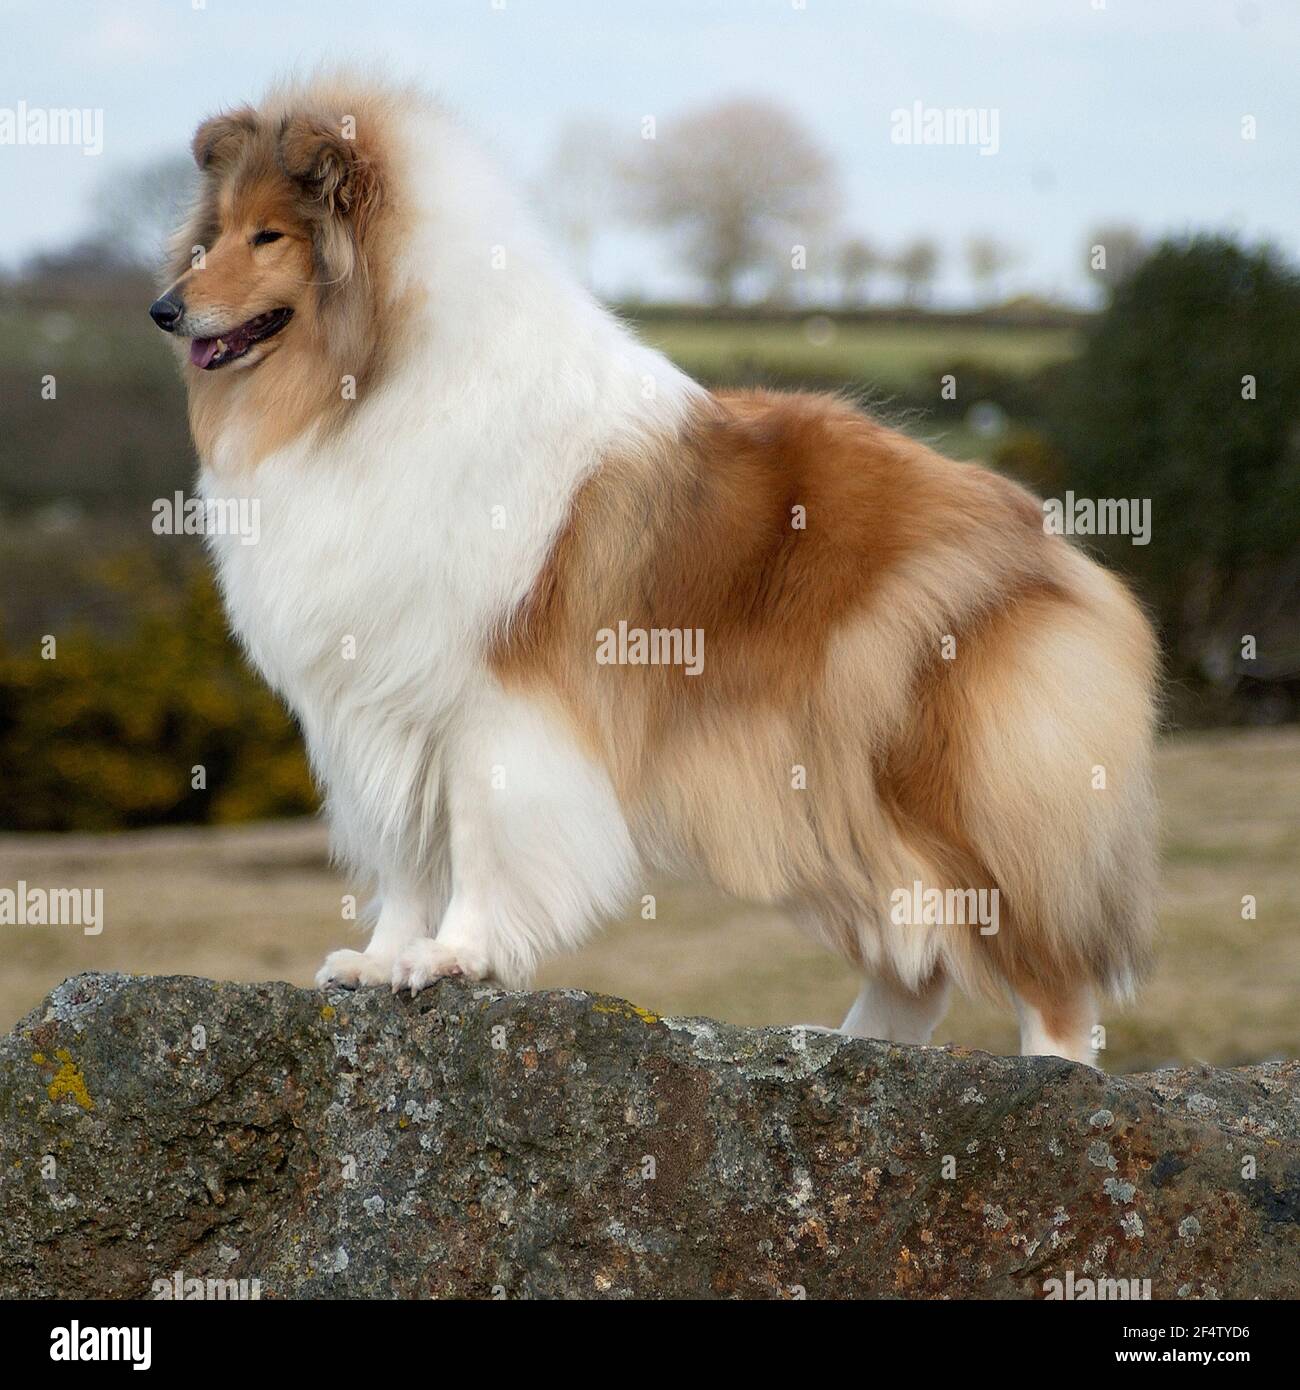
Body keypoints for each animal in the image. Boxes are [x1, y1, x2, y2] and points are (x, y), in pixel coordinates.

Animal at [150, 76, 1156, 1061]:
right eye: (214, 233)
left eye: (269, 236)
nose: (163, 309)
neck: (368, 387)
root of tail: (1046, 534)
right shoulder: (373, 703)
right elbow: (401, 852)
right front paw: (380, 959)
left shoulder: (487, 702)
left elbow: (479, 839)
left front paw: (453, 956)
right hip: (826, 797)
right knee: (916, 957)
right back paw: (846, 1047)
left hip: (936, 782)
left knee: (1040, 964)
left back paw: (1045, 1075)